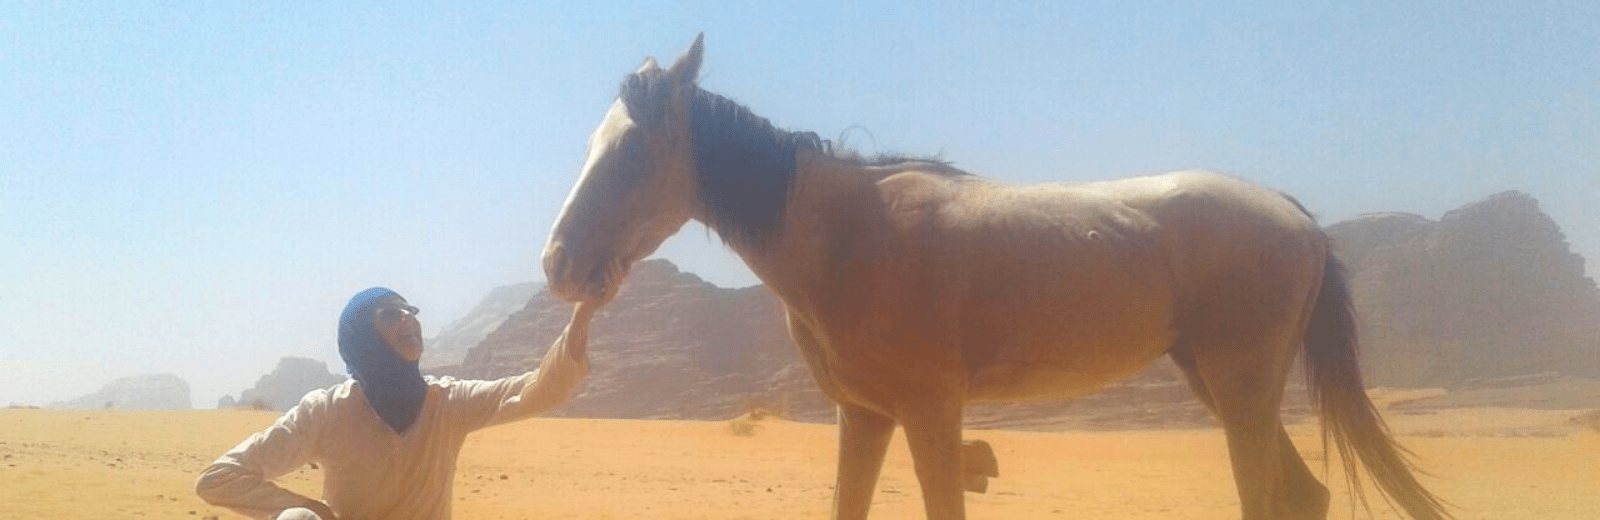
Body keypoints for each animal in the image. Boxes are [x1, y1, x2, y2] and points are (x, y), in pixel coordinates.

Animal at [544, 34, 1459, 515]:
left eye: (635, 151)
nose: (559, 264)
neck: (848, 236)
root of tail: (1293, 214)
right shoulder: (865, 419)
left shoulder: (930, 415)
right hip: (1226, 387)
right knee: (1303, 495)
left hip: (1242, 393)